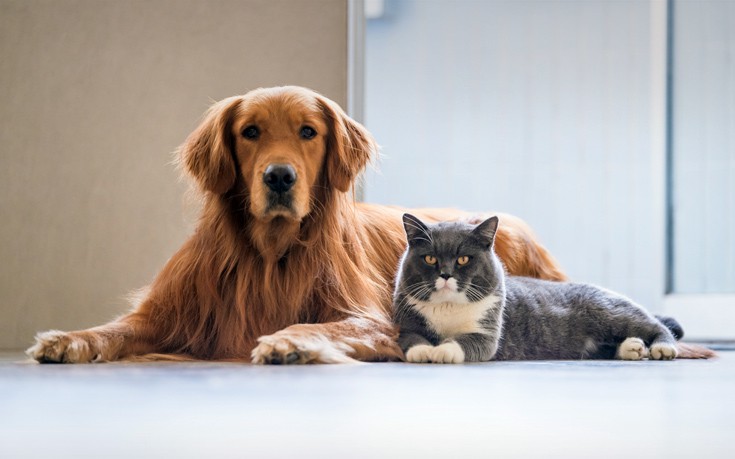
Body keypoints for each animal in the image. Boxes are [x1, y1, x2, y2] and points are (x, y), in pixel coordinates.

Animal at [25, 87, 572, 366]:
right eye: (249, 132)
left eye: (309, 131)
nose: (279, 176)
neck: (270, 253)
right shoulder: (169, 313)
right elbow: (115, 328)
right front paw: (67, 339)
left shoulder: (374, 319)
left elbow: (315, 324)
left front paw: (286, 342)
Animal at [396, 214, 684, 364]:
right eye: (430, 259)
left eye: (463, 259)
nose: (445, 274)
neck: (448, 307)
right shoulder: (408, 325)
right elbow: (412, 339)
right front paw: (423, 351)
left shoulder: (487, 333)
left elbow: (464, 341)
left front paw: (442, 350)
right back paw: (632, 348)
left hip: (609, 312)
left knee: (656, 325)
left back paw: (661, 347)